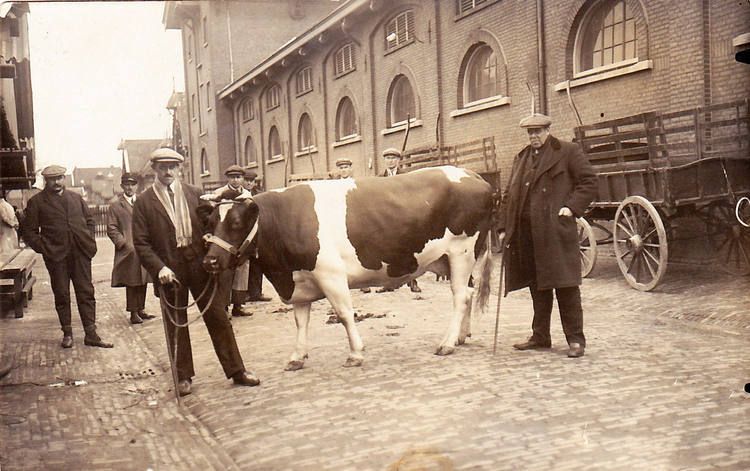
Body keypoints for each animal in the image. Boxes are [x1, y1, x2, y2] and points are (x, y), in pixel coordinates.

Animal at [203, 166, 496, 372]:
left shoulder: (330, 275)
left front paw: (355, 353)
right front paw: (297, 356)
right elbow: (300, 321)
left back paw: (446, 343)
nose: (210, 261)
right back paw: (460, 337)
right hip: (455, 258)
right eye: (210, 223)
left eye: (237, 223)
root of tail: (474, 175)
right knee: (468, 292)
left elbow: (344, 314)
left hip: (462, 251)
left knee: (461, 296)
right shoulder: (299, 280)